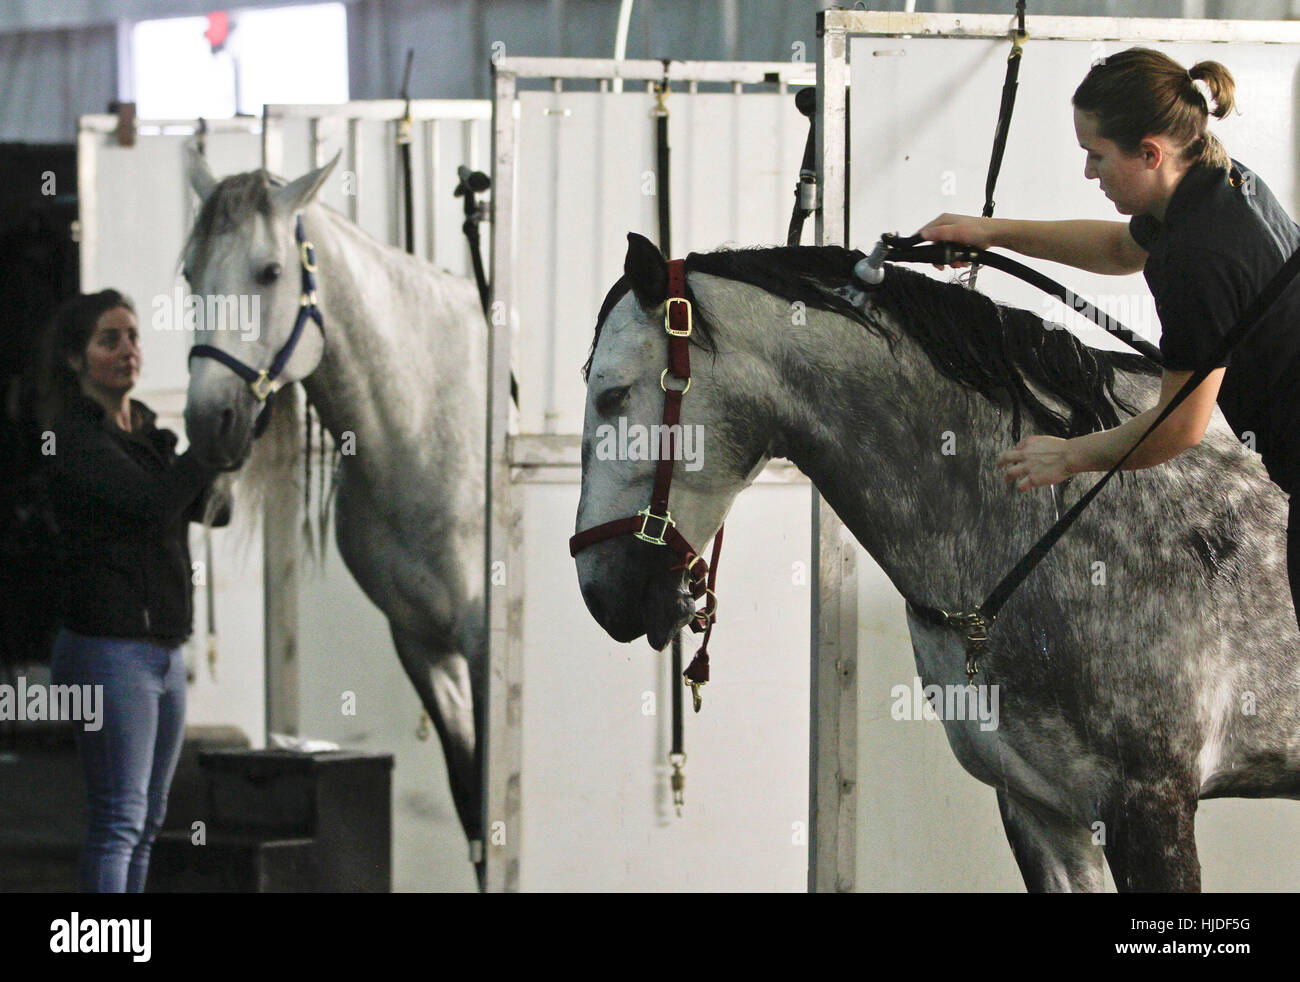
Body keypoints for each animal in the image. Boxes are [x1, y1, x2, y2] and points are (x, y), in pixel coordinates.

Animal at [180, 148, 487, 886]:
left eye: (269, 272)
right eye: (189, 274)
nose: (209, 425)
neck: (426, 424)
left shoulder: (485, 642)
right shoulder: (423, 647)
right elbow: (471, 806)